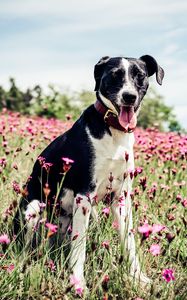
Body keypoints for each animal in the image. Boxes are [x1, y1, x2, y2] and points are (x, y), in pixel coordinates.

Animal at [13, 54, 164, 290]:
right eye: (115, 75)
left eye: (140, 76)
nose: (129, 97)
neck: (113, 131)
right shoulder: (84, 194)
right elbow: (80, 248)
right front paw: (78, 282)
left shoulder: (121, 197)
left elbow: (129, 242)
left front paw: (138, 278)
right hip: (34, 209)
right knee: (24, 248)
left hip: (90, 214)